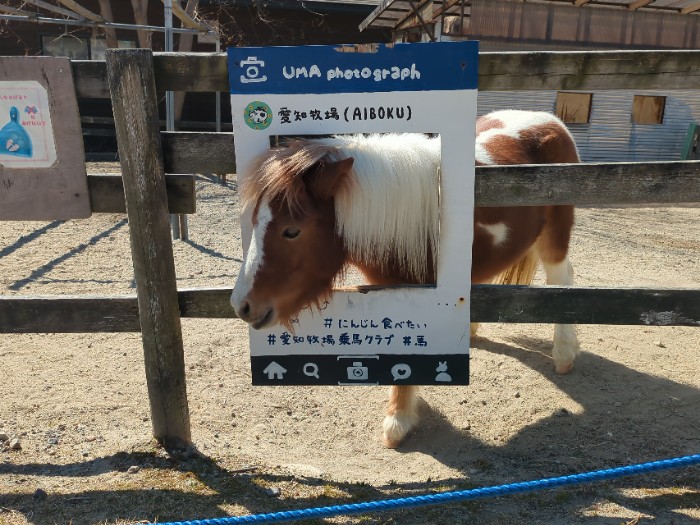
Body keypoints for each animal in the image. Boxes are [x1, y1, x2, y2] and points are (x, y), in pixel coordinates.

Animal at [231, 109, 581, 448]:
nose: (241, 305)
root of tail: (549, 120)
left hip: (555, 237)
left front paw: (398, 422)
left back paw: (564, 354)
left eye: (291, 231)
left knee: (562, 280)